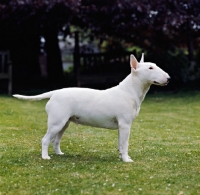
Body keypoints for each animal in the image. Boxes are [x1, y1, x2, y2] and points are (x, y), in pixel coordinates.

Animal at [13, 54, 170, 162]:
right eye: (150, 68)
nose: (168, 78)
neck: (129, 90)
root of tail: (55, 93)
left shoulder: (121, 126)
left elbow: (120, 143)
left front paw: (121, 157)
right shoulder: (125, 124)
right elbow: (125, 143)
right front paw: (126, 160)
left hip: (64, 123)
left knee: (55, 140)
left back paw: (59, 154)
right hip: (56, 122)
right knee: (45, 139)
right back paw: (45, 157)